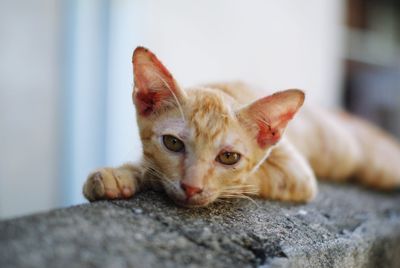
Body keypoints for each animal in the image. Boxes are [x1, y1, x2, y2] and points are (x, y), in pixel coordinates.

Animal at [83, 47, 400, 207]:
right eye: (173, 143)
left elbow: (246, 180)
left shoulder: (296, 174)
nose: (191, 187)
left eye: (228, 157)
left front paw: (137, 173)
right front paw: (119, 175)